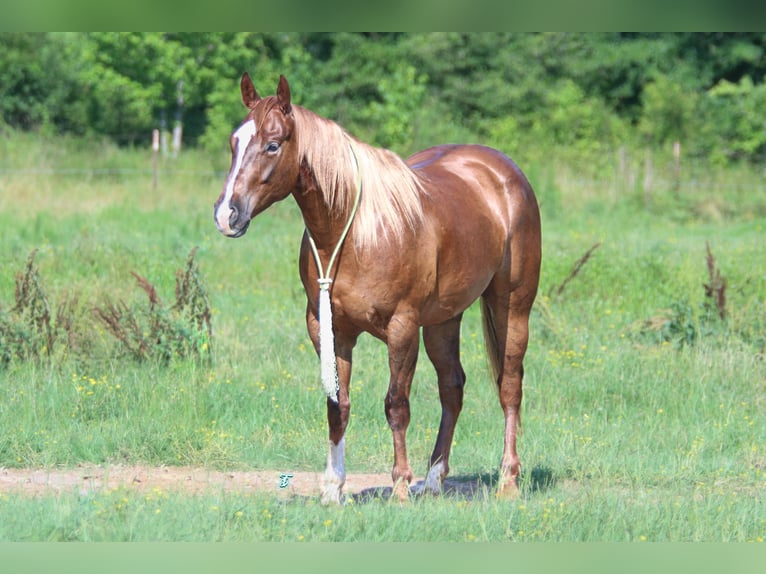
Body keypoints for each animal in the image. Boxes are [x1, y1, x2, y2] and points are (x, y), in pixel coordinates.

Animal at [213, 73, 544, 504]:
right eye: (234, 142)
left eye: (272, 144)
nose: (227, 215)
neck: (354, 232)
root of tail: (502, 171)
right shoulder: (328, 329)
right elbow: (337, 405)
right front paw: (332, 489)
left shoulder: (401, 328)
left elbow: (396, 405)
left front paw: (400, 485)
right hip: (443, 320)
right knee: (452, 387)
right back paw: (434, 479)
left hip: (512, 307)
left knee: (509, 387)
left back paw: (508, 480)